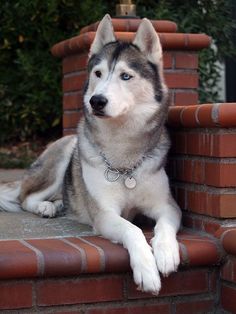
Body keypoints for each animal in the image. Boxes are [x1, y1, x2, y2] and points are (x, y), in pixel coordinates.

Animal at [0, 14, 182, 294]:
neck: (123, 157)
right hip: (63, 154)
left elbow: (164, 226)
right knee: (25, 198)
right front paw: (147, 271)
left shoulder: (167, 206)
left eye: (126, 76)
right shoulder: (105, 214)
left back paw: (59, 204)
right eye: (98, 73)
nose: (97, 101)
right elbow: (132, 230)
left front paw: (166, 253)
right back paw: (45, 207)